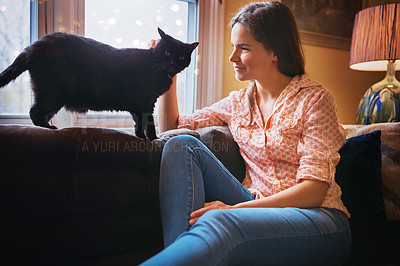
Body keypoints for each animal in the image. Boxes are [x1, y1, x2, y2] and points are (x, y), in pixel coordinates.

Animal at [0, 28, 199, 140]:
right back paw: (48, 128)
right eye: (167, 53)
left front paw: (144, 138)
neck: (155, 65)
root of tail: (35, 46)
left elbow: (141, 122)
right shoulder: (145, 102)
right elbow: (146, 122)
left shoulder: (142, 104)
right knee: (35, 112)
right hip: (53, 94)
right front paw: (150, 139)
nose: (172, 63)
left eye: (181, 57)